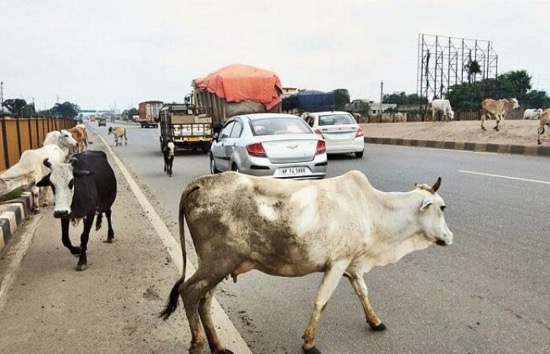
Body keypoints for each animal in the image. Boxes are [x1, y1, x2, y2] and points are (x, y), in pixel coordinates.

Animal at [162, 171, 454, 354]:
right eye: (442, 207)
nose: (450, 237)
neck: (372, 208)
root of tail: (202, 182)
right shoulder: (338, 263)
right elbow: (321, 301)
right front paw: (309, 343)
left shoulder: (352, 264)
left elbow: (362, 291)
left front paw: (375, 321)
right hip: (217, 262)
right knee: (189, 292)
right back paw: (198, 345)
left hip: (217, 266)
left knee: (204, 301)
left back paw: (219, 347)